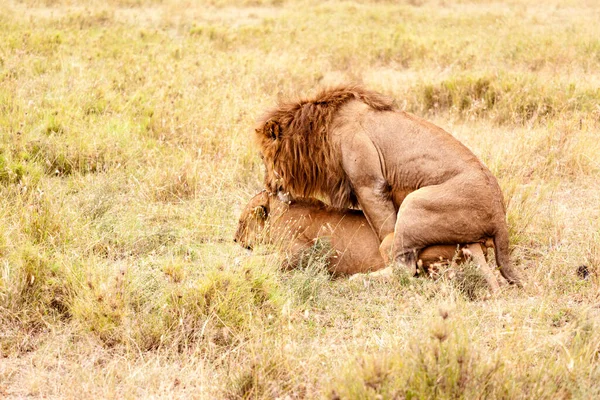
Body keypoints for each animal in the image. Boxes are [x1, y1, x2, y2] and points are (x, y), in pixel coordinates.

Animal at [234, 189, 502, 292]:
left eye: (241, 222)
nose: (235, 239)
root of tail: (474, 239)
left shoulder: (306, 250)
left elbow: (271, 259)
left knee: (409, 275)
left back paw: (359, 279)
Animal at [253, 84, 520, 286]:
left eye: (262, 158)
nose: (268, 187)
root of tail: (500, 216)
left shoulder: (369, 184)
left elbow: (384, 230)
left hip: (414, 203)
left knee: (405, 267)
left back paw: (360, 279)